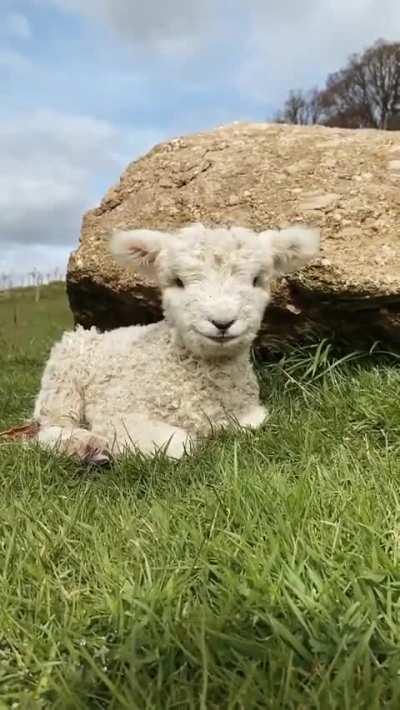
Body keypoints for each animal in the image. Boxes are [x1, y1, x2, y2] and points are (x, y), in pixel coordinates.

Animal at [34, 223, 320, 462]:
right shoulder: (117, 414)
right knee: (48, 428)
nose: (222, 322)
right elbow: (179, 444)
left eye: (256, 280)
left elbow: (249, 423)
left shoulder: (248, 414)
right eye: (178, 281)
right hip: (63, 380)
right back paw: (86, 446)